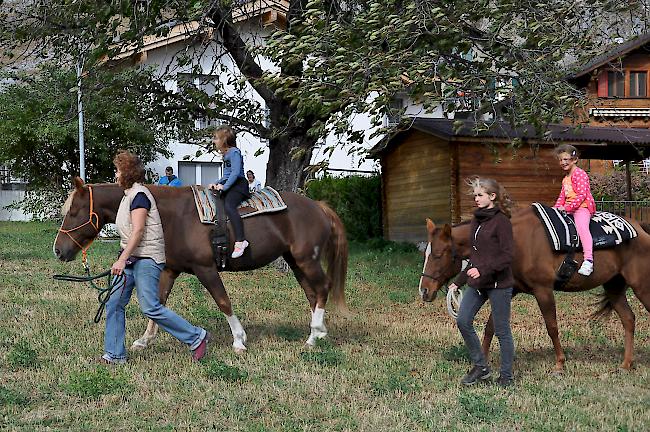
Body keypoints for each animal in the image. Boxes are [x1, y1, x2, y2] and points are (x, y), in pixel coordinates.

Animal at [55, 177, 346, 352]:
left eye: (73, 212)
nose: (58, 250)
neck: (170, 215)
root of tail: (319, 207)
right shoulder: (169, 270)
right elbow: (157, 304)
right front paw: (144, 340)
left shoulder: (205, 269)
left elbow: (223, 301)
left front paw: (239, 340)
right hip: (296, 262)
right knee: (313, 294)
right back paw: (317, 333)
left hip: (307, 260)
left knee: (323, 288)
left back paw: (314, 334)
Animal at [418, 208, 648, 372]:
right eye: (426, 254)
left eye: (438, 254)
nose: (424, 290)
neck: (517, 242)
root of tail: (641, 228)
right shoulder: (510, 290)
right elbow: (491, 327)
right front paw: (481, 363)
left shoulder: (543, 290)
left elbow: (551, 326)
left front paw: (560, 363)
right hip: (614, 288)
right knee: (628, 319)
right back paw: (626, 364)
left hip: (641, 287)